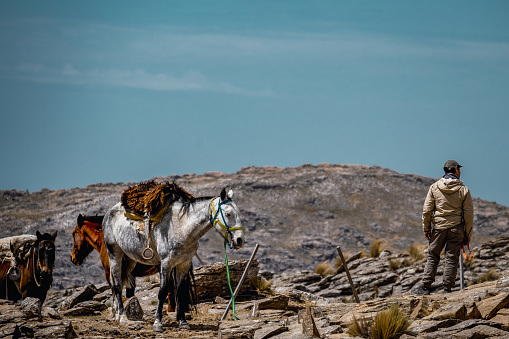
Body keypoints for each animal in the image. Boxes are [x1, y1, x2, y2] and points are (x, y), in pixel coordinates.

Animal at [102, 189, 243, 332]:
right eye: (228, 214)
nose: (239, 240)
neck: (182, 228)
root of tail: (109, 213)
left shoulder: (184, 264)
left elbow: (180, 292)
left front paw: (183, 321)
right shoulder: (166, 263)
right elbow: (163, 291)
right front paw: (158, 323)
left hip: (130, 259)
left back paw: (116, 314)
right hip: (114, 254)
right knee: (117, 285)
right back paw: (122, 317)